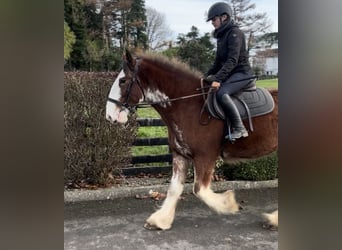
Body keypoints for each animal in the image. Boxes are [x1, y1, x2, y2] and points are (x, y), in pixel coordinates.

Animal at [105, 49, 278, 229]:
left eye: (123, 81)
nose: (109, 115)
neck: (189, 105)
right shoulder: (180, 155)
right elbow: (174, 189)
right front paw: (160, 220)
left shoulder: (205, 156)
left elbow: (200, 190)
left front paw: (229, 203)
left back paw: (274, 219)